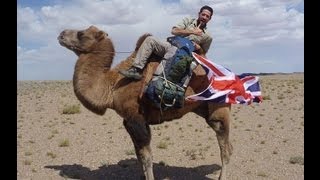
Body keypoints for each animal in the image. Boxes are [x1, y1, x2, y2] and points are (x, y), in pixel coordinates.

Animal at [57, 25, 232, 180]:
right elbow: (139, 154)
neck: (112, 86)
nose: (61, 34)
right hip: (202, 107)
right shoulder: (128, 121)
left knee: (225, 147)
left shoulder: (137, 118)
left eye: (81, 33)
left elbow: (147, 157)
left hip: (219, 108)